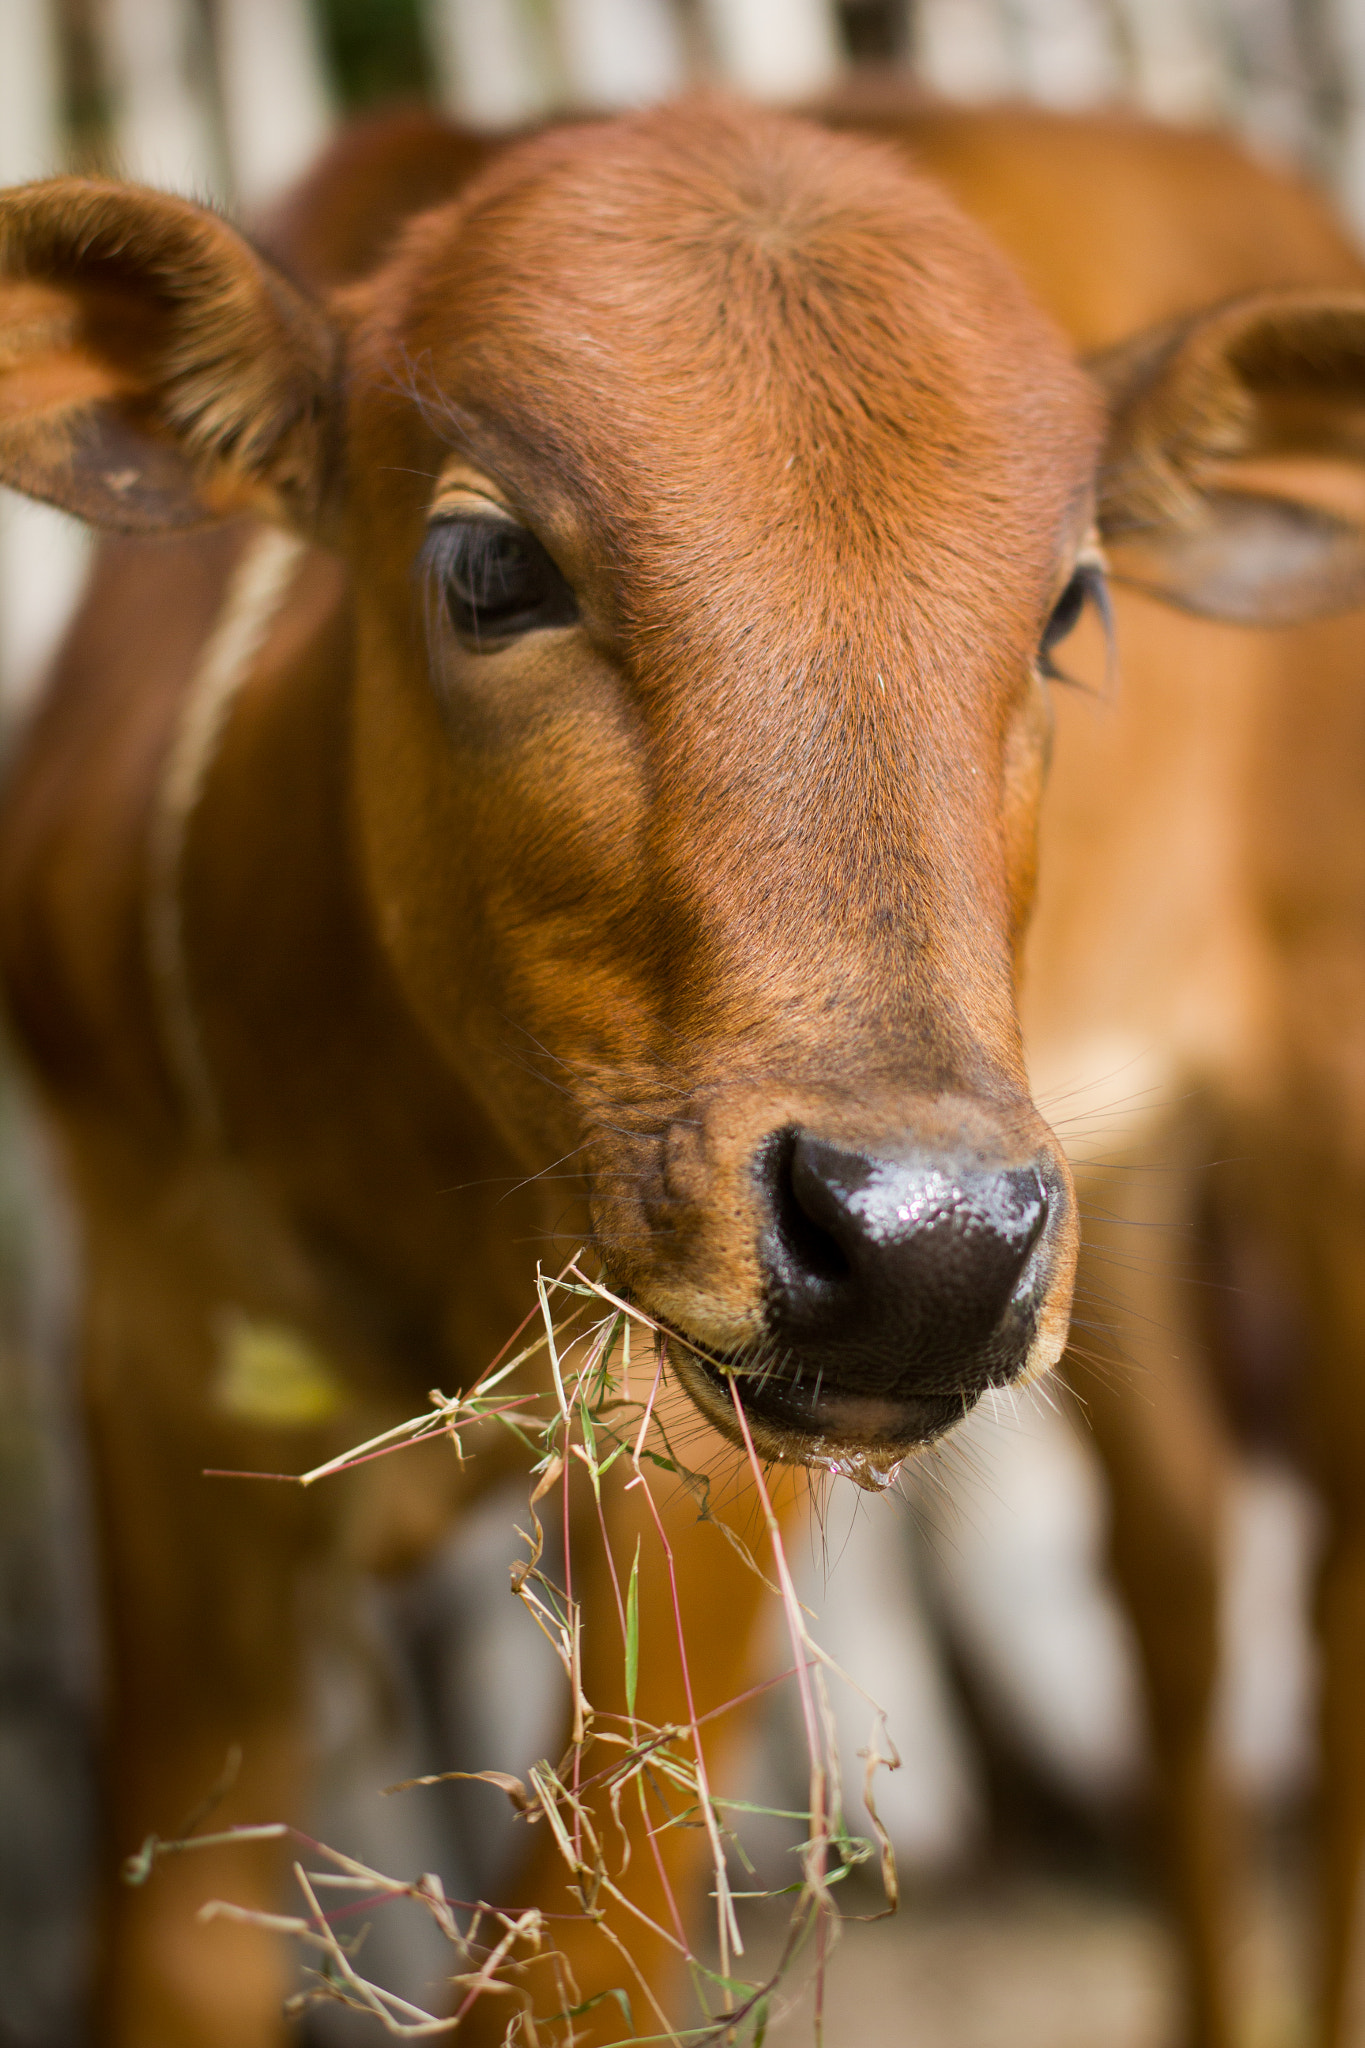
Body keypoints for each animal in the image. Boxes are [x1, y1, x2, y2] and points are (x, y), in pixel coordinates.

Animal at [0, 92, 1358, 2048]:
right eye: (490, 566)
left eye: (1072, 604)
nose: (928, 1239)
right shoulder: (155, 1357)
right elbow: (175, 1955)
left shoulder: (695, 1472)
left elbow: (573, 1969)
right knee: (1177, 1574)